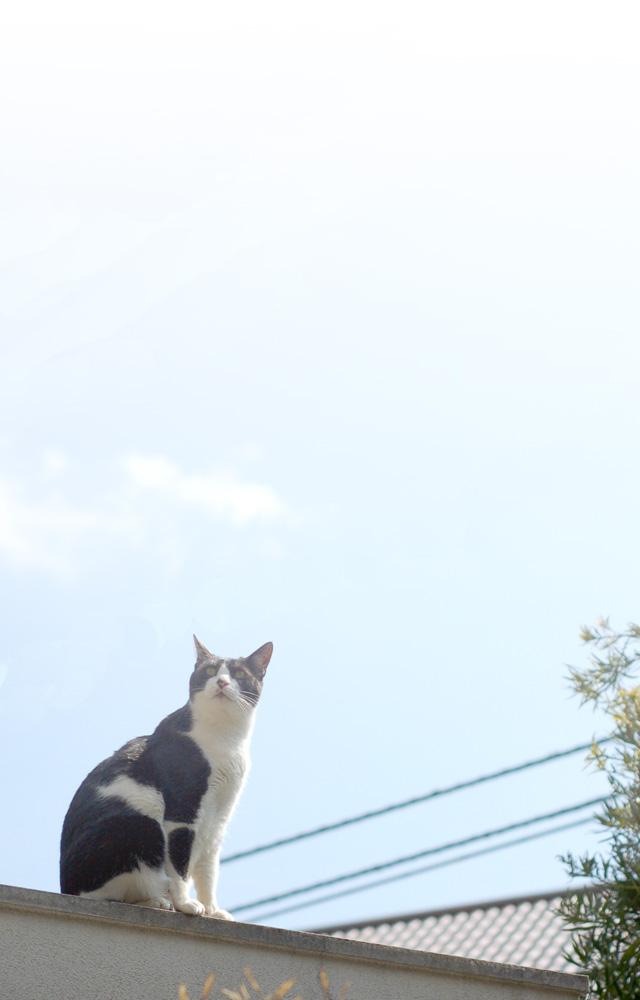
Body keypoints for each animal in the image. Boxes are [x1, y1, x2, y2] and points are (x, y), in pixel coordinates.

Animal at [60, 636, 272, 917]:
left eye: (238, 674)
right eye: (210, 671)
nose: (222, 682)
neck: (225, 737)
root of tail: (64, 888)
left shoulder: (218, 819)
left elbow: (208, 870)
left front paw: (212, 909)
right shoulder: (181, 813)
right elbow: (179, 866)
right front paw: (186, 904)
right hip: (140, 824)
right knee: (107, 896)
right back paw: (158, 901)